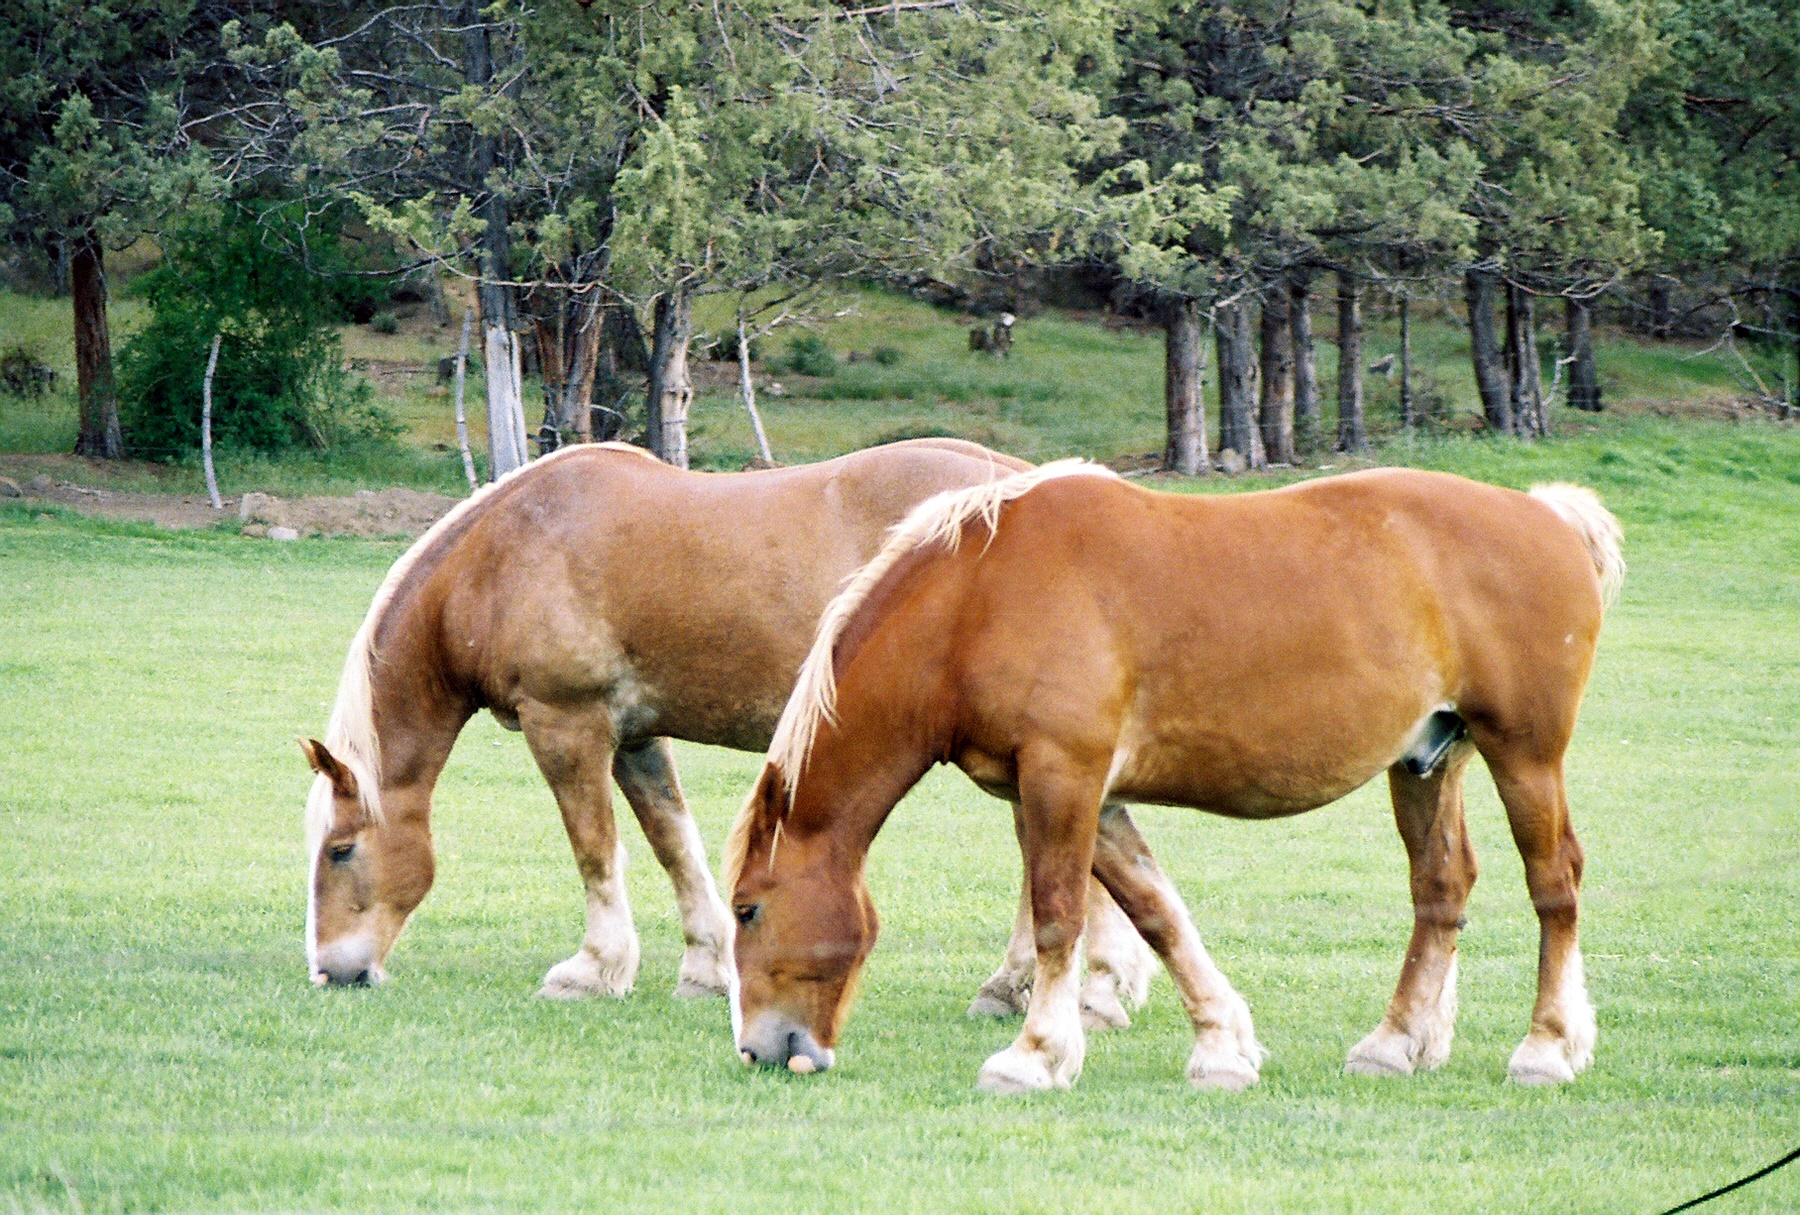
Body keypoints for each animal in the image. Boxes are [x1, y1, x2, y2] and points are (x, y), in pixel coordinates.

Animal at [299, 439, 1158, 1026]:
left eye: (340, 849)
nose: (332, 972)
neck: (506, 551)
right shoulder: (635, 737)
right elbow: (673, 842)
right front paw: (707, 966)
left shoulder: (567, 725)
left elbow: (595, 850)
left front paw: (595, 968)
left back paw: (1057, 989)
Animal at [725, 461, 1624, 1091]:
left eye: (748, 908)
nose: (760, 1049)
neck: (976, 597)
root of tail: (1546, 513)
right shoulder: (1084, 796)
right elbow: (1157, 913)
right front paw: (1223, 1046)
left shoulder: (1063, 776)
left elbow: (1058, 917)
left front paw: (1034, 1055)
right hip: (1426, 763)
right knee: (1441, 889)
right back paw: (1396, 1042)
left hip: (1525, 755)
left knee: (1556, 884)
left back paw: (1547, 1047)